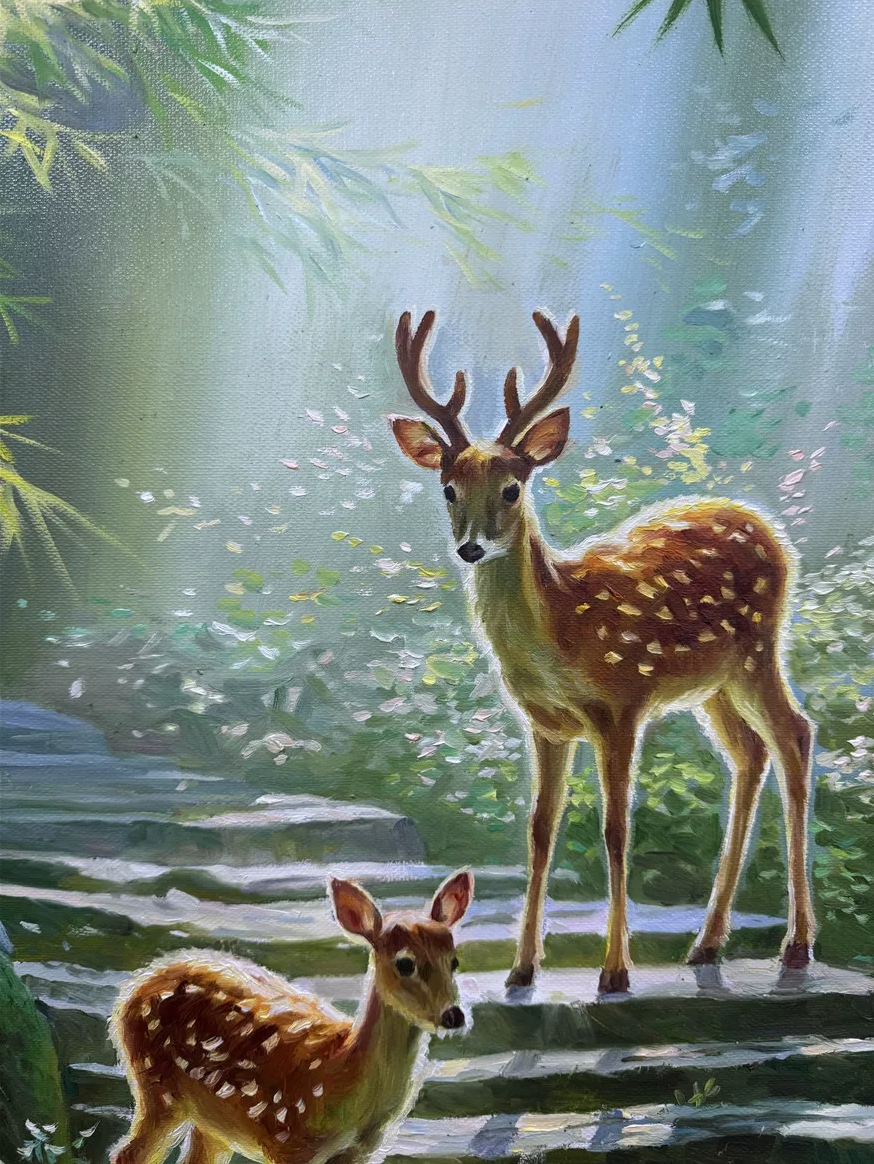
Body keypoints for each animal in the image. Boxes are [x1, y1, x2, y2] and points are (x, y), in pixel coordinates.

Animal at [109, 871, 473, 1164]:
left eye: (454, 961)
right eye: (405, 963)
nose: (453, 1016)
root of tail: (135, 987)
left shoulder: (356, 1153)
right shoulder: (286, 1139)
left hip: (212, 1122)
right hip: (157, 1087)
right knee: (126, 1153)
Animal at [389, 308, 816, 995]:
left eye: (513, 488)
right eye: (448, 488)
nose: (472, 547)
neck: (562, 633)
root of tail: (770, 529)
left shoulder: (621, 706)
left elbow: (617, 831)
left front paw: (614, 971)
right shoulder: (545, 725)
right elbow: (540, 831)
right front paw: (522, 968)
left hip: (757, 650)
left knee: (794, 735)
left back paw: (796, 946)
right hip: (714, 684)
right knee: (749, 754)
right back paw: (707, 944)